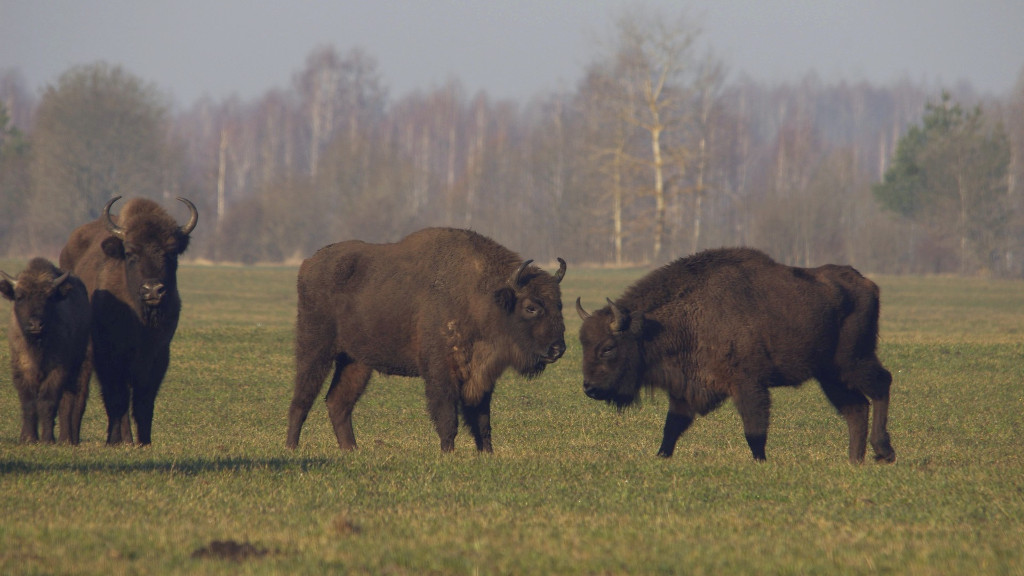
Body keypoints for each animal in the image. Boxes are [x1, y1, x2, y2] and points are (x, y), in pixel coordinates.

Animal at [1, 258, 90, 440]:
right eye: (19, 297)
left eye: (49, 297)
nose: (36, 324)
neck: (37, 347)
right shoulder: (22, 370)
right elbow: (29, 403)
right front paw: (28, 438)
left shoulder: (57, 370)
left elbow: (48, 403)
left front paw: (48, 439)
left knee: (67, 402)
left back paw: (66, 439)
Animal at [59, 195, 197, 444]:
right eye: (131, 252)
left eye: (171, 252)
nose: (153, 290)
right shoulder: (111, 354)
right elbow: (117, 397)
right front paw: (118, 440)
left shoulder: (158, 355)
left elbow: (144, 400)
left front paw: (144, 441)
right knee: (79, 392)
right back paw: (69, 438)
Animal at [288, 226, 569, 450]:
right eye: (531, 307)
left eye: (559, 304)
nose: (558, 349)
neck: (482, 296)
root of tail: (309, 263)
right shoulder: (441, 372)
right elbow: (447, 418)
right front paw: (447, 453)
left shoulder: (480, 376)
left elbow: (482, 421)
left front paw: (487, 454)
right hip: (316, 348)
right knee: (302, 399)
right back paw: (292, 447)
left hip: (355, 361)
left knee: (338, 402)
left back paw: (351, 450)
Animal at [577, 247, 897, 461]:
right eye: (582, 343)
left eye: (608, 347)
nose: (590, 388)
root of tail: (867, 283)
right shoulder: (686, 390)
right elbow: (672, 428)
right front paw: (660, 457)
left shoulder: (748, 385)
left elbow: (754, 431)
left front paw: (761, 462)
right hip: (829, 375)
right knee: (856, 408)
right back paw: (855, 460)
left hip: (853, 361)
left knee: (881, 384)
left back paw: (883, 451)